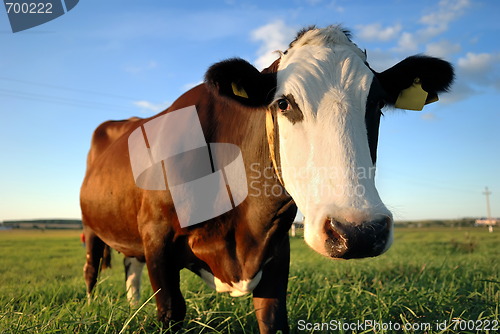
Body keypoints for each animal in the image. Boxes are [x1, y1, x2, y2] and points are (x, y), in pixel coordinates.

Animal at [79, 24, 454, 332]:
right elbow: (170, 310)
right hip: (91, 228)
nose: (359, 232)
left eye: (376, 104)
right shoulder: (157, 239)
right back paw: (90, 304)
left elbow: (272, 319)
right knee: (92, 268)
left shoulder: (276, 249)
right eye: (284, 103)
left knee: (130, 265)